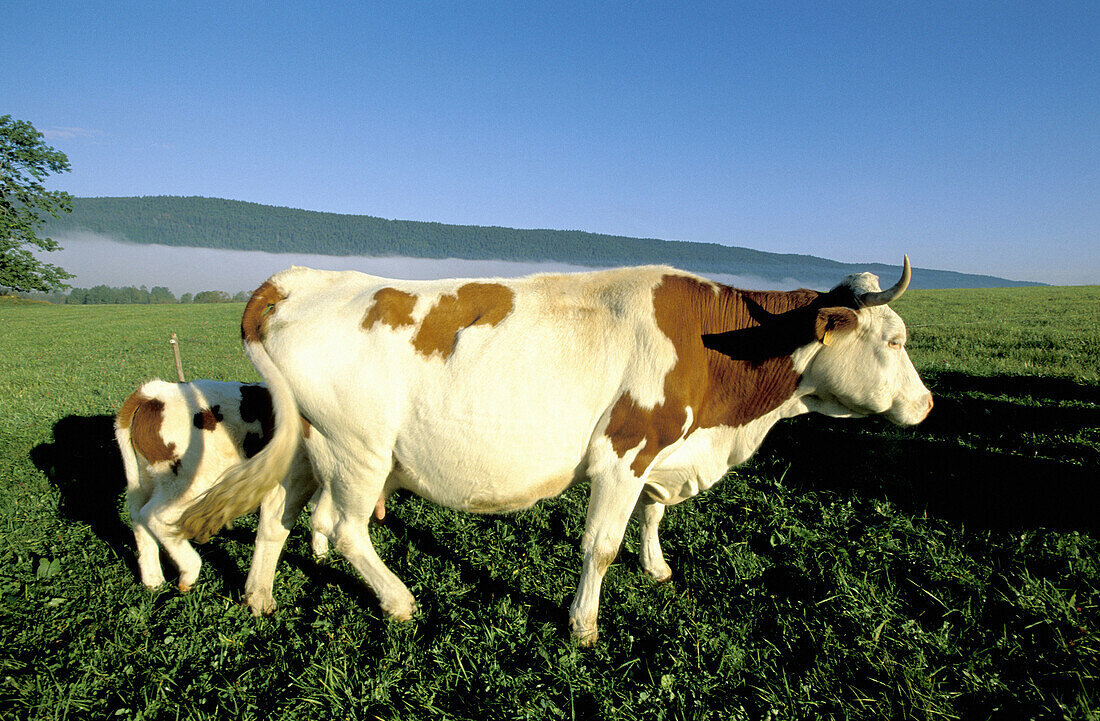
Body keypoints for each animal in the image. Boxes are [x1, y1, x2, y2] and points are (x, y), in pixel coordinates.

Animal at [116, 378, 323, 616]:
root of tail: (155, 394)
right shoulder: (296, 476)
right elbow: (276, 527)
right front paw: (260, 600)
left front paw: (320, 552)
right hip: (195, 483)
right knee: (154, 516)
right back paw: (189, 569)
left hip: (146, 480)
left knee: (138, 517)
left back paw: (153, 580)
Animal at [176, 257, 932, 642]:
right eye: (895, 340)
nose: (926, 405)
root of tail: (294, 279)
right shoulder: (625, 448)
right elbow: (601, 544)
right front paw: (583, 624)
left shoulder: (664, 449)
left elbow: (654, 514)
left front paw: (656, 566)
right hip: (357, 450)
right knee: (342, 528)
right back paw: (398, 601)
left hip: (304, 448)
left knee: (275, 518)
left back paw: (260, 596)